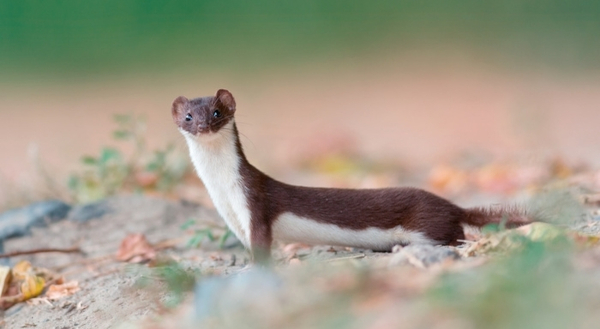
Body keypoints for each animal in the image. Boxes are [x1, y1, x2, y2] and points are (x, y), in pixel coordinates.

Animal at [171, 89, 532, 262]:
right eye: (188, 116)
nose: (202, 125)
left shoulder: (255, 202)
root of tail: (452, 206)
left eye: (217, 112)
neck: (222, 189)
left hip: (429, 225)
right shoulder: (232, 216)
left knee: (455, 235)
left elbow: (261, 242)